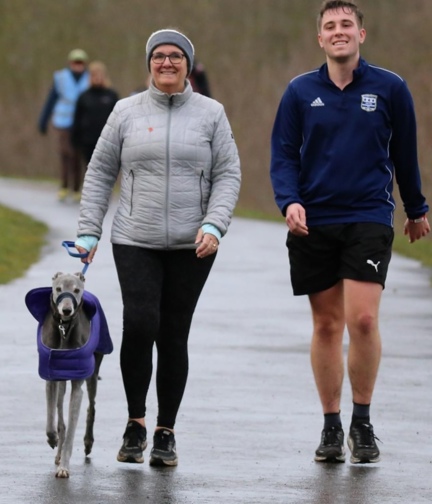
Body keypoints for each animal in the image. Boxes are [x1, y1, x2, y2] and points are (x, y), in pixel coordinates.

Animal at [41, 274, 104, 478]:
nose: (67, 310)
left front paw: (64, 468)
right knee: (60, 415)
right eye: (58, 288)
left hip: (92, 375)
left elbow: (71, 431)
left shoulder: (78, 387)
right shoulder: (51, 379)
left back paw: (87, 442)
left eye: (76, 290)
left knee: (91, 407)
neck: (64, 329)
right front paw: (52, 438)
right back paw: (58, 449)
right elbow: (52, 418)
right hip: (61, 384)